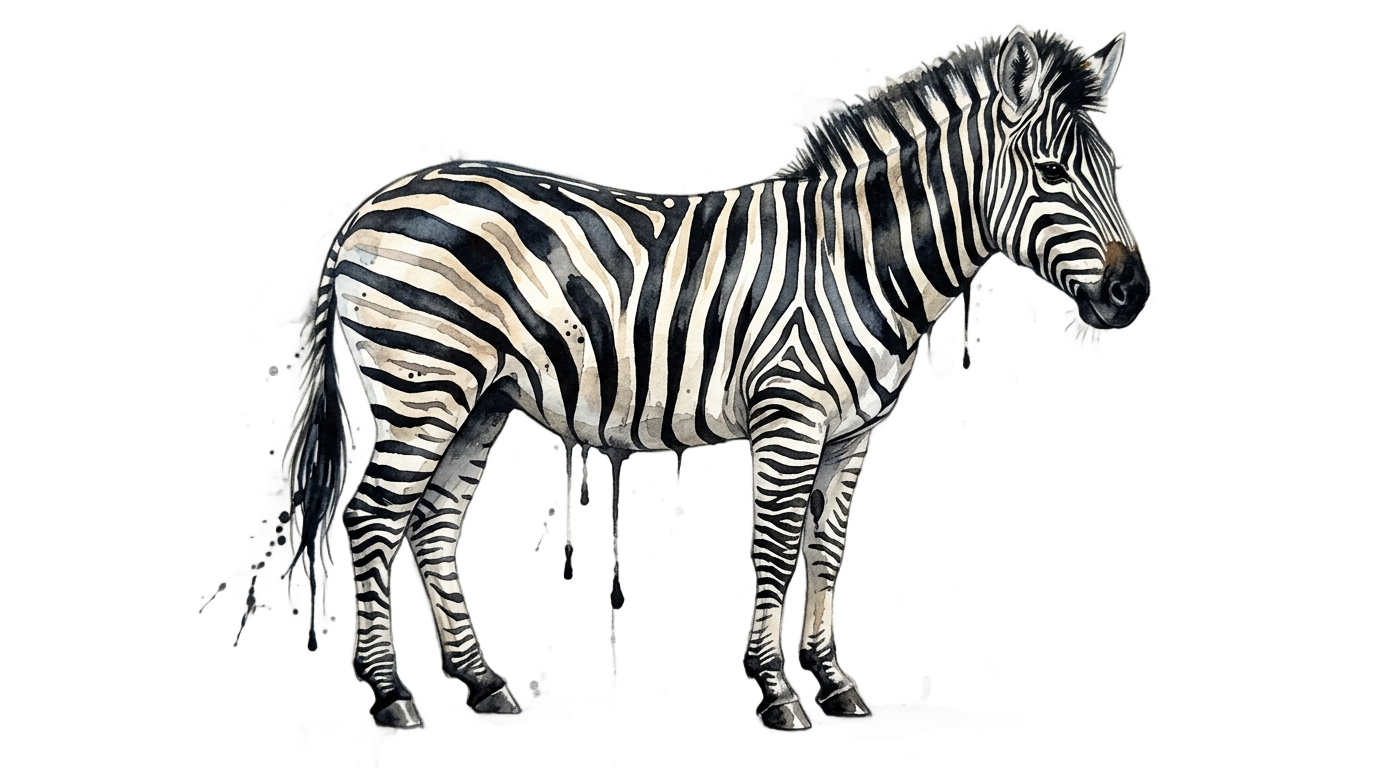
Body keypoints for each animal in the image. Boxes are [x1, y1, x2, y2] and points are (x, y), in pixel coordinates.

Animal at [281, 27, 1149, 731]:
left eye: (1111, 174)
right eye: (1050, 172)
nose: (1133, 291)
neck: (858, 262)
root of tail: (371, 207)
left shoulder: (851, 436)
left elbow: (826, 547)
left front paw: (832, 681)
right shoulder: (790, 415)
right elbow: (772, 547)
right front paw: (774, 691)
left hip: (479, 398)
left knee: (431, 522)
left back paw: (478, 680)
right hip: (422, 384)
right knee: (371, 519)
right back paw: (389, 692)